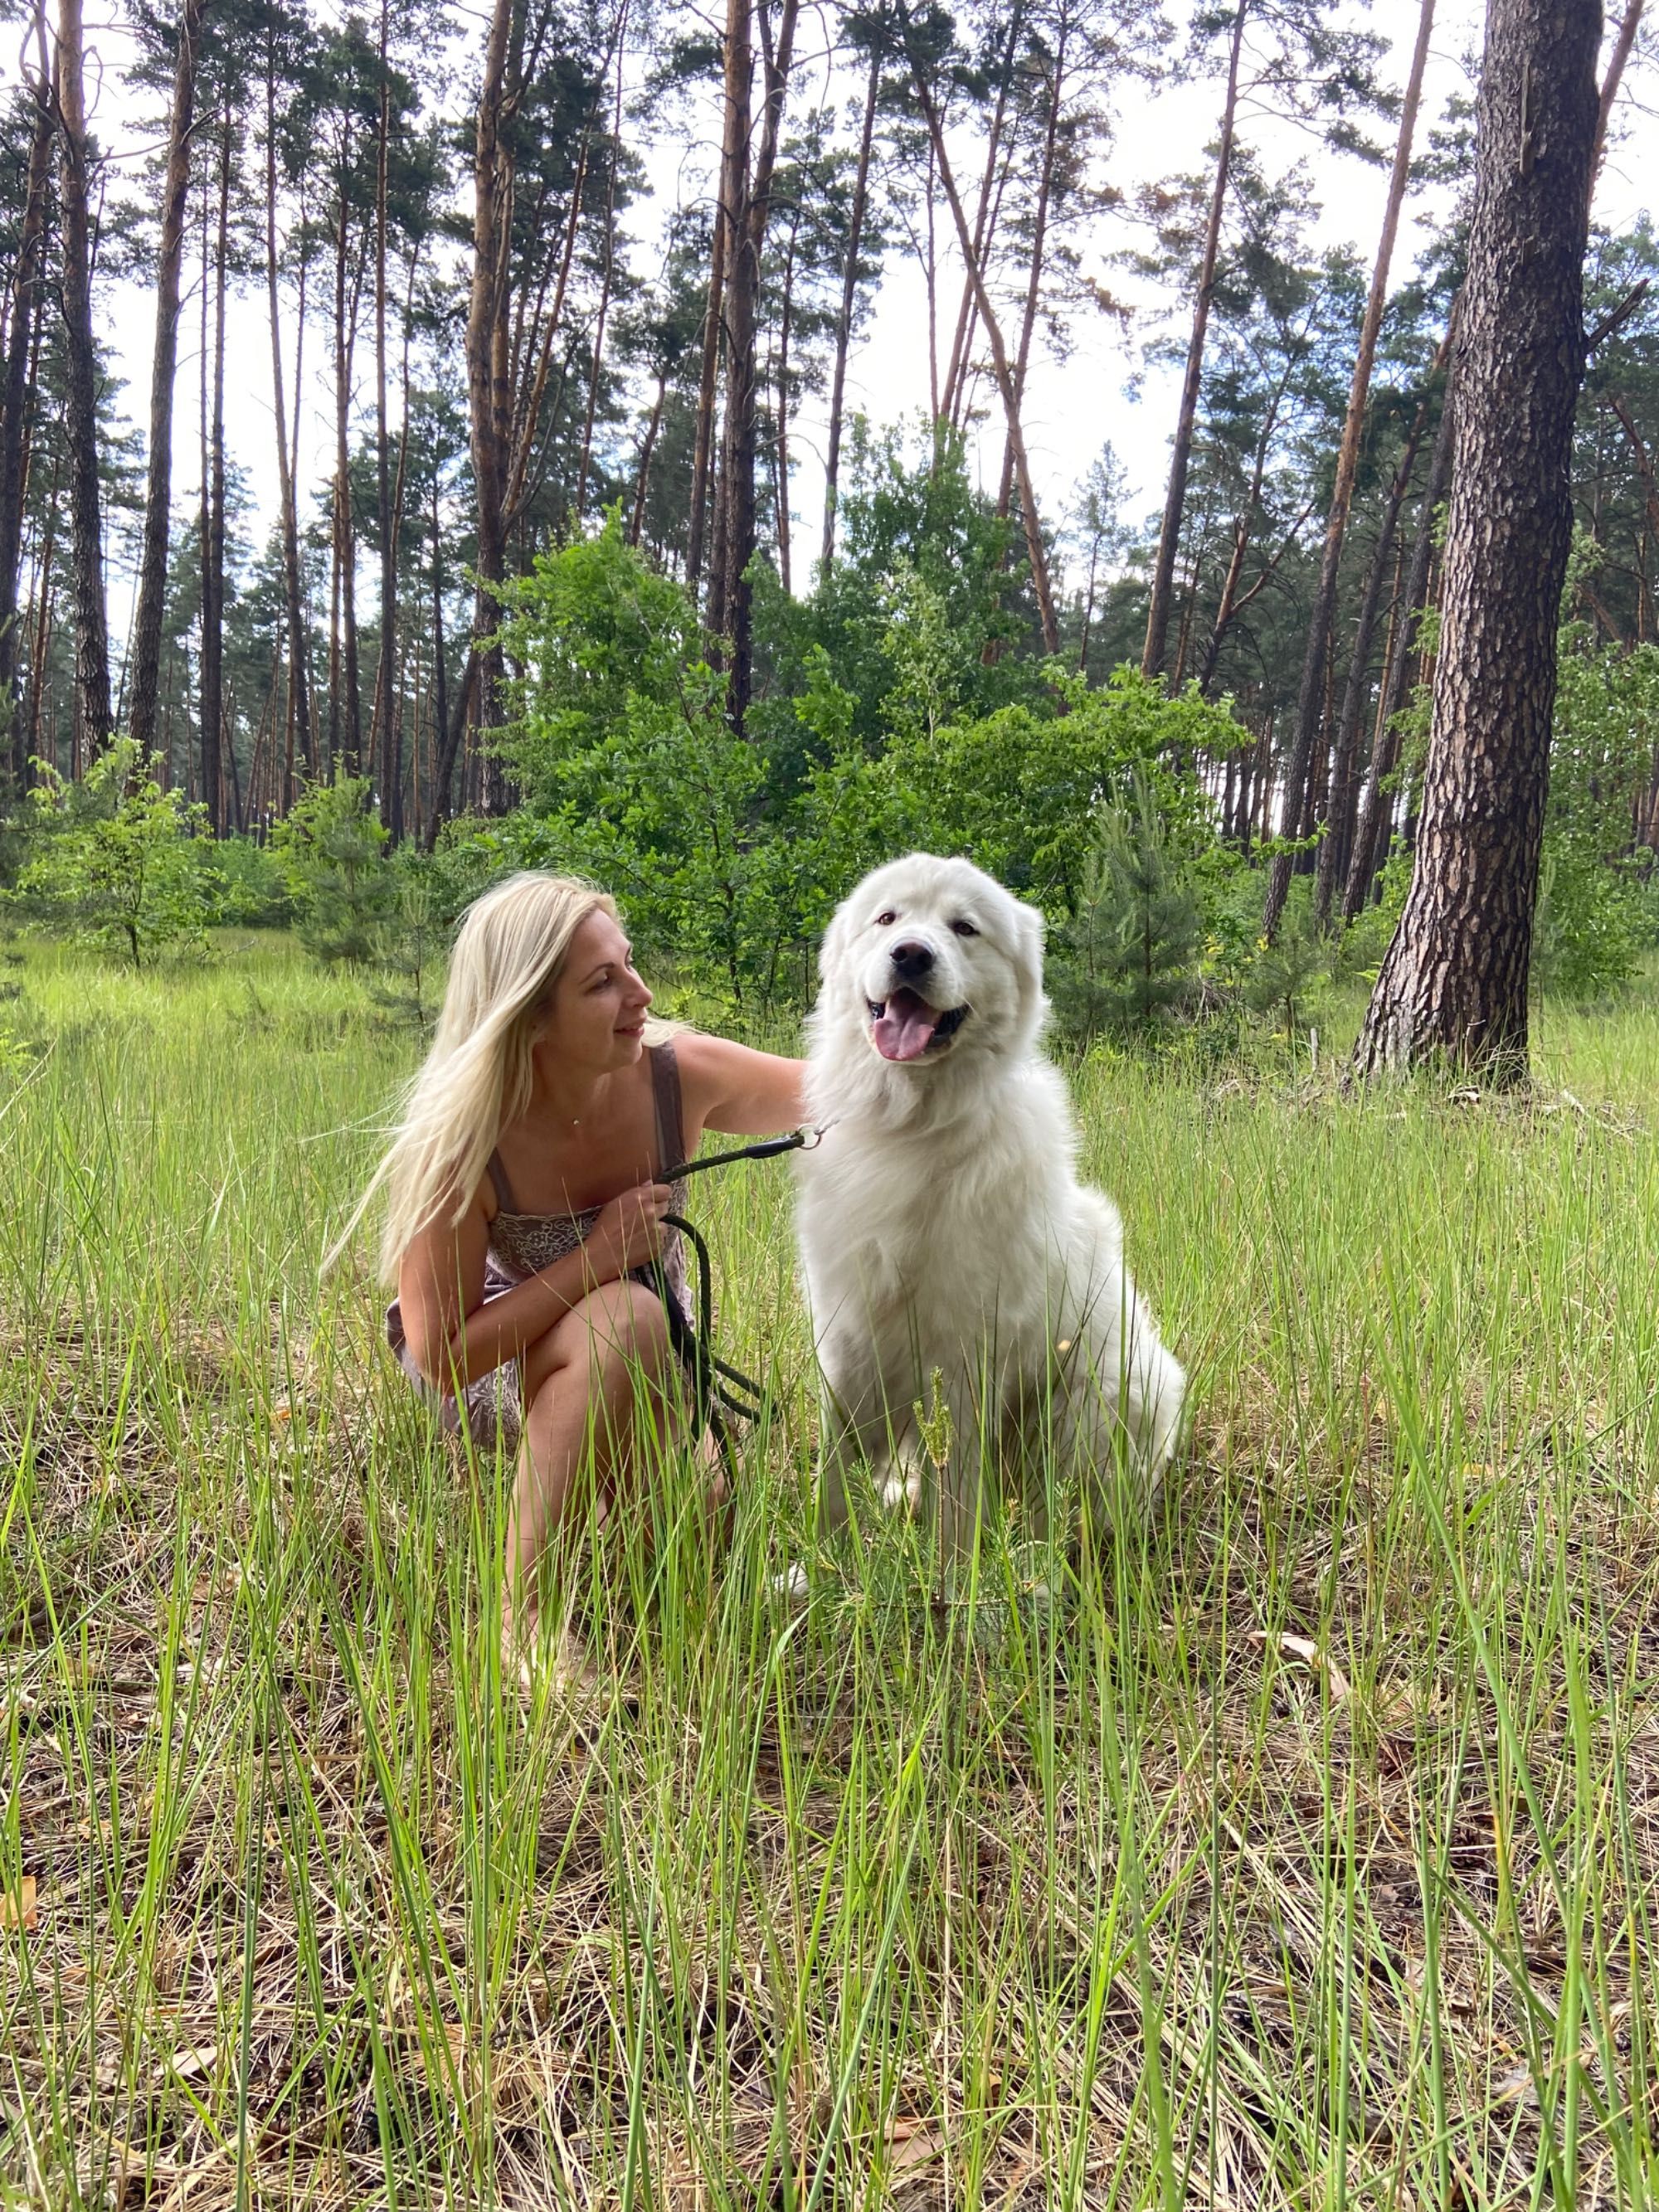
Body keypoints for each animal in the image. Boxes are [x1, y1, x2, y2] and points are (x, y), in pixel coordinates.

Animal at [800, 849, 1185, 1557]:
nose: (910, 954)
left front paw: (952, 1573)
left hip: (1102, 1395)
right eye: (888, 917)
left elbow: (956, 1493)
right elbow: (835, 1471)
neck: (913, 1126)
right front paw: (825, 1560)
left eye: (965, 927)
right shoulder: (846, 1338)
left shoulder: (967, 1358)